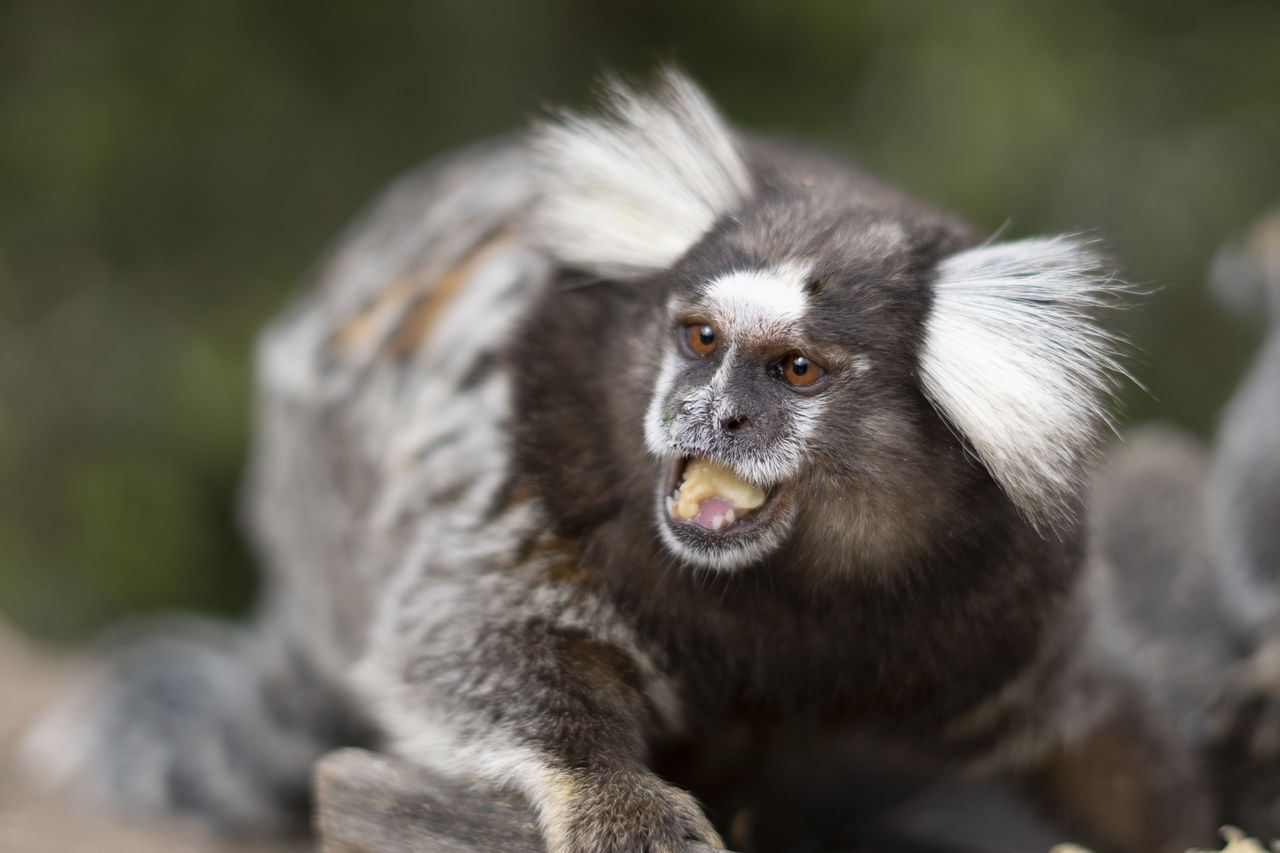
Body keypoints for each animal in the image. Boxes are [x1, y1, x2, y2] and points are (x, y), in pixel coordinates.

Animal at [24, 68, 1213, 850]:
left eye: (794, 370)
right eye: (698, 338)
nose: (709, 416)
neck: (779, 596)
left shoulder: (999, 603)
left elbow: (1093, 731)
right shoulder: (516, 456)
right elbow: (477, 638)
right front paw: (613, 794)